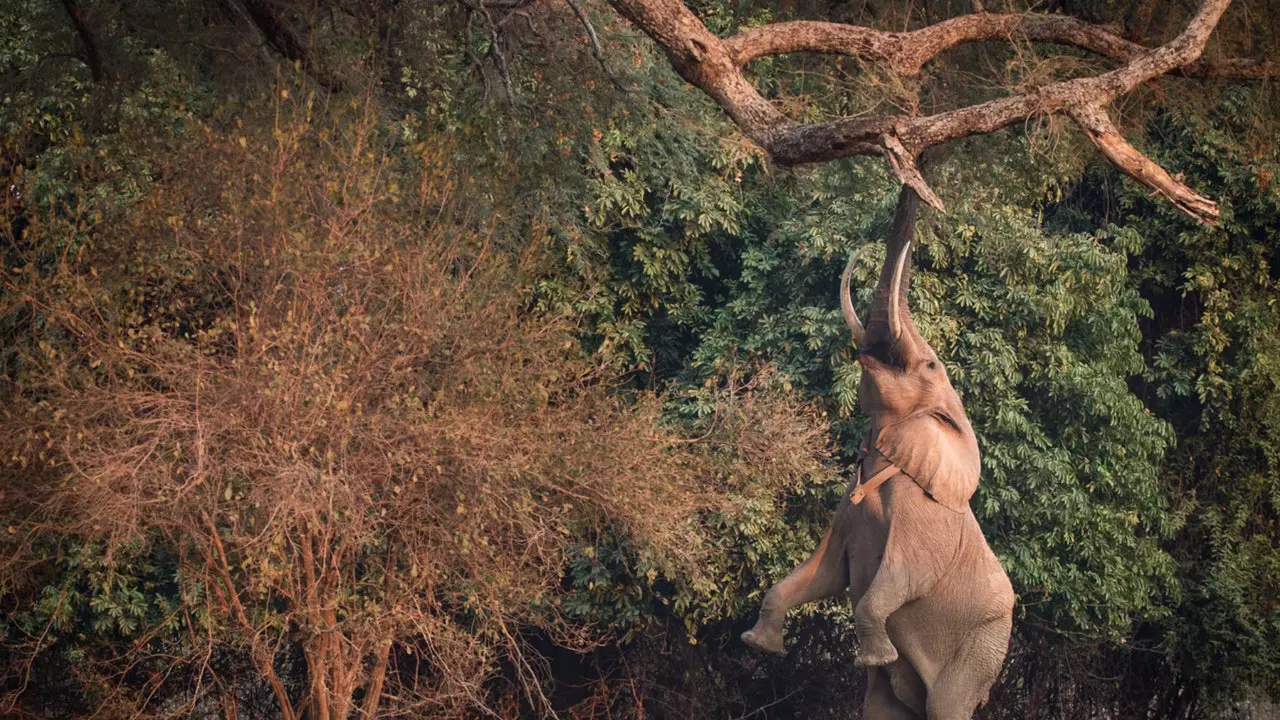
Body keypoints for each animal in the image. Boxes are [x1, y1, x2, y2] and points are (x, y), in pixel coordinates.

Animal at [742, 188, 1008, 712]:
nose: (916, 196)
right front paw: (758, 645)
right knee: (885, 705)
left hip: (983, 646)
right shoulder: (847, 506)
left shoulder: (923, 518)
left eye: (928, 365)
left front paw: (871, 657)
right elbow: (824, 571)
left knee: (946, 704)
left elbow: (900, 578)